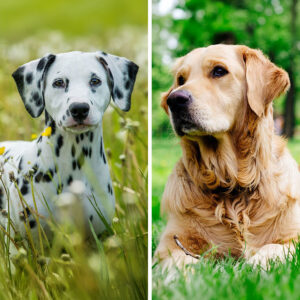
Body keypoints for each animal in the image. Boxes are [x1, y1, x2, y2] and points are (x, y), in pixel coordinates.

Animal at [156, 44, 300, 270]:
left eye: (219, 71)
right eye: (181, 79)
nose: (175, 100)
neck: (232, 183)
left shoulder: (292, 236)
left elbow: (274, 247)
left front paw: (257, 263)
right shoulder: (170, 242)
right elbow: (178, 261)